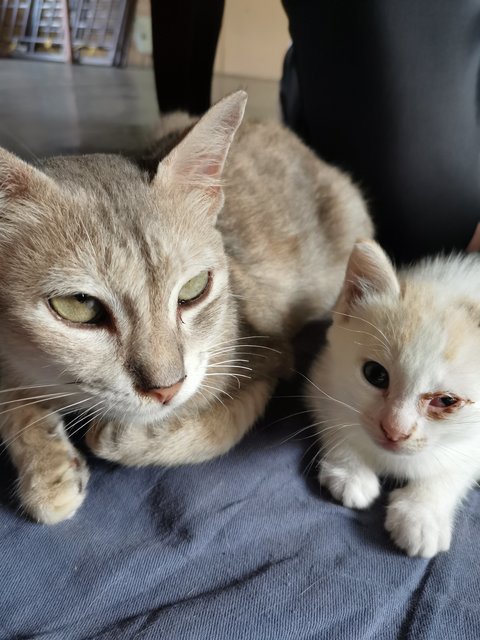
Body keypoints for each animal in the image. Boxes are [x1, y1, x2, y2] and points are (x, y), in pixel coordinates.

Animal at [0, 89, 372, 520]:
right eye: (78, 305)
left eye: (194, 288)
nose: (167, 388)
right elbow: (13, 402)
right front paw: (49, 471)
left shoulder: (271, 359)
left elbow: (214, 429)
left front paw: (119, 436)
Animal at [310, 238, 480, 556]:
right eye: (375, 374)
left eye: (447, 401)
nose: (394, 431)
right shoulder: (325, 375)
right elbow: (335, 417)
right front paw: (351, 471)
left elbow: (458, 466)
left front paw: (423, 513)